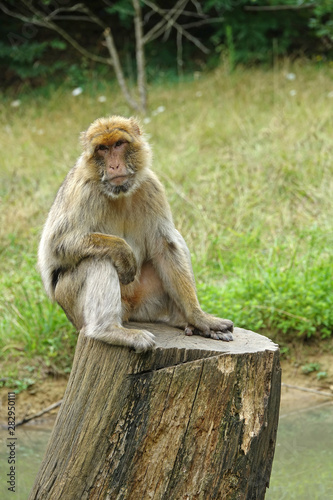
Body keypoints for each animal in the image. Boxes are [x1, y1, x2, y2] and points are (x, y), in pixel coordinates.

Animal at [37, 116, 232, 352]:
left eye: (118, 144)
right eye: (102, 149)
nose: (114, 165)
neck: (119, 194)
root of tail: (129, 312)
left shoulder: (151, 186)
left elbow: (165, 246)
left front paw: (198, 317)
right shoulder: (83, 192)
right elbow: (56, 246)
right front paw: (122, 251)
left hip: (146, 303)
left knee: (173, 240)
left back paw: (181, 318)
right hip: (71, 305)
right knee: (97, 259)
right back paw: (109, 330)